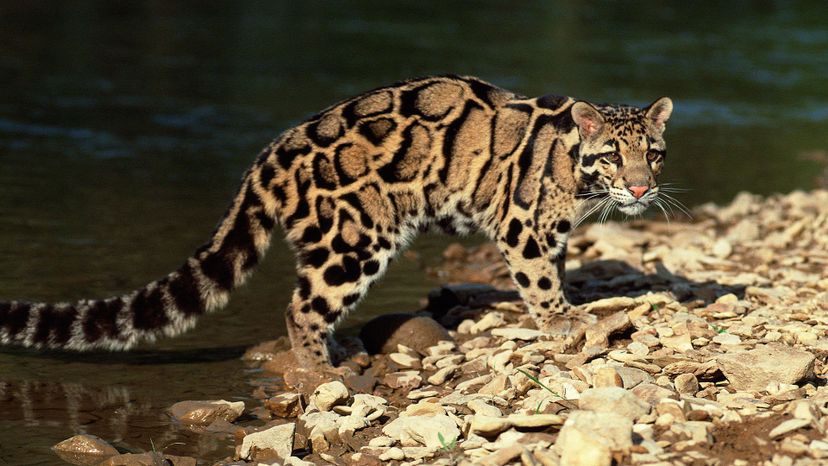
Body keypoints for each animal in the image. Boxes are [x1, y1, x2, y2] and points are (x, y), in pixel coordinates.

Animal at [0, 75, 672, 368]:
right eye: (612, 154)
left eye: (654, 153)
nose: (642, 187)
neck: (578, 177)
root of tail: (269, 155)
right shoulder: (519, 224)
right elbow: (539, 280)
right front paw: (561, 321)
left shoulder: (549, 234)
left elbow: (554, 270)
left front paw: (569, 307)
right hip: (353, 241)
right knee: (300, 308)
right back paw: (322, 372)